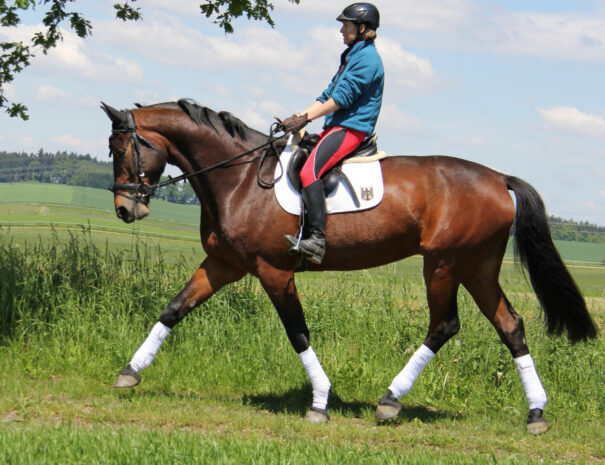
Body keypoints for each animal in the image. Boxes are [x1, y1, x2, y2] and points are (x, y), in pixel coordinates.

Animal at [101, 99, 596, 434]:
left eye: (122, 148)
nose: (125, 209)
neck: (239, 179)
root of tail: (498, 179)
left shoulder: (273, 272)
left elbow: (298, 333)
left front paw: (320, 402)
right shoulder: (224, 263)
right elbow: (173, 310)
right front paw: (129, 372)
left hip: (443, 264)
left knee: (445, 324)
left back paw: (390, 400)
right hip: (477, 267)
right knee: (510, 325)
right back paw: (535, 412)